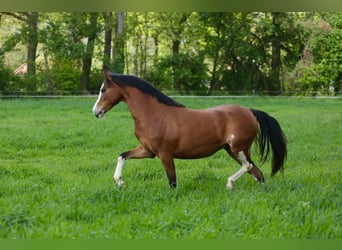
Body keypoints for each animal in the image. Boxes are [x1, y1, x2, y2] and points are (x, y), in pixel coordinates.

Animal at [91, 69, 286, 188]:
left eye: (103, 90)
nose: (95, 112)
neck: (154, 114)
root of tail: (250, 112)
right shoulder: (148, 150)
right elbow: (122, 155)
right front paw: (119, 182)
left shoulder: (165, 154)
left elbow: (172, 182)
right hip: (234, 150)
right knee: (257, 173)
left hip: (238, 148)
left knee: (249, 166)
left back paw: (229, 184)